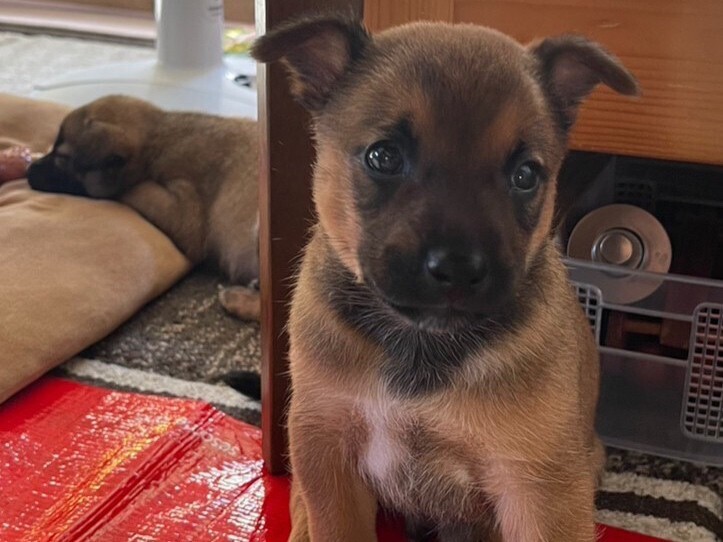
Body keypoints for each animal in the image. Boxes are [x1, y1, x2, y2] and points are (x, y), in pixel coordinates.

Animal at [27, 95, 260, 320]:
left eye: (61, 158)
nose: (28, 170)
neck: (157, 138)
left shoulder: (186, 213)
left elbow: (137, 188)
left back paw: (241, 300)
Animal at [252, 15, 638, 542]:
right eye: (383, 157)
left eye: (526, 175)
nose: (458, 270)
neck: (422, 344)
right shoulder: (326, 443)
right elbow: (331, 518)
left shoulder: (539, 487)